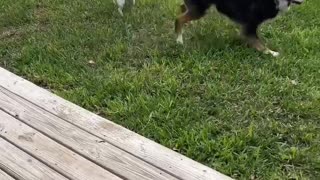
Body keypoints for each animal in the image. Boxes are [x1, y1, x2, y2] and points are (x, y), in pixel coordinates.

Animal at [176, 0, 304, 56]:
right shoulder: (250, 25)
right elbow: (259, 44)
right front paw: (272, 53)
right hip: (200, 9)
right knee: (178, 19)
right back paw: (179, 40)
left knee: (182, 7)